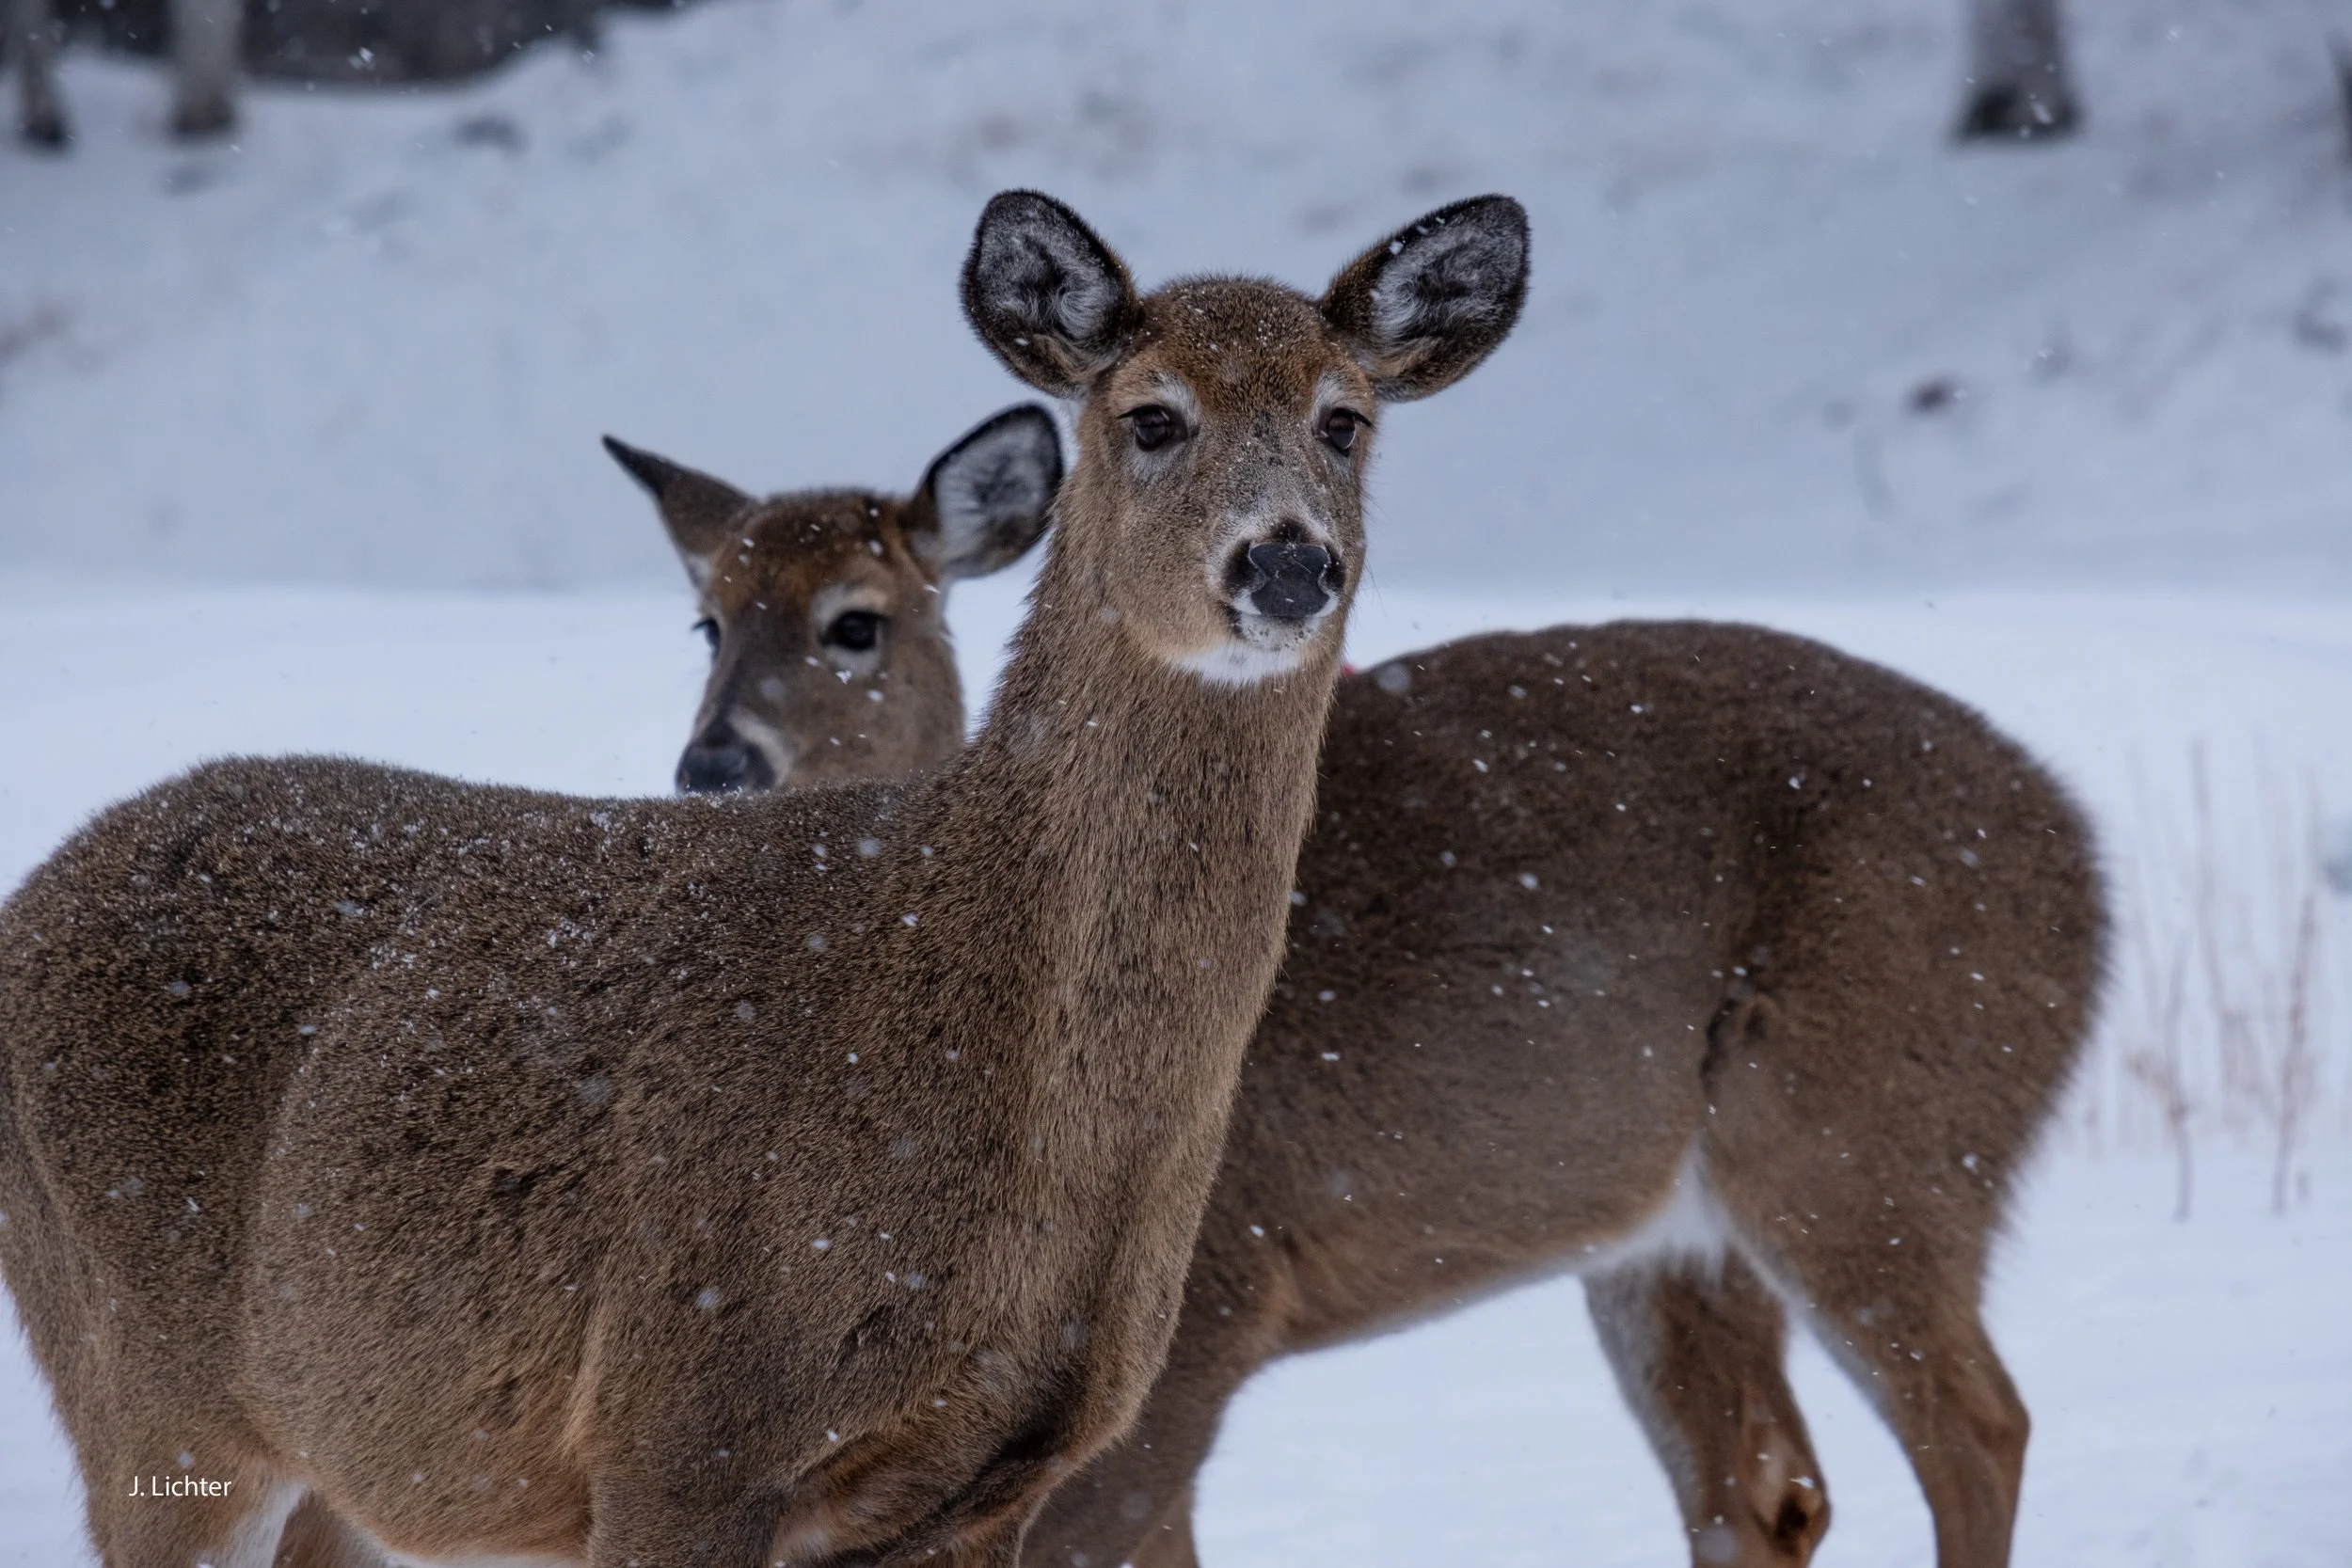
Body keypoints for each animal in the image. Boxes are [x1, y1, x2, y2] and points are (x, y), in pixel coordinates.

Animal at [0, 187, 1533, 1568]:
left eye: (1346, 418)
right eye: (1151, 415)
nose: (1286, 559)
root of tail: (34, 890)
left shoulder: (992, 1483)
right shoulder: (678, 1422)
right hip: (146, 1397)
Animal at [626, 465, 2106, 1568]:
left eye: (856, 619)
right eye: (707, 616)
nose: (713, 763)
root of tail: (2087, 868)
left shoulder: (1207, 1308)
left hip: (1872, 1141)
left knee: (1979, 1422)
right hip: (1672, 1238)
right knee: (1766, 1486)